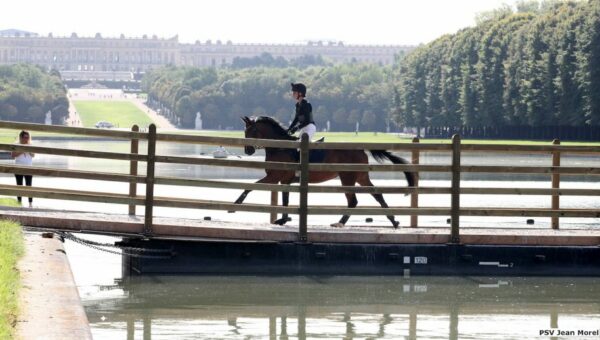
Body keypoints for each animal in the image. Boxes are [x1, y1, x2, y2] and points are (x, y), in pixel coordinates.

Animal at [232, 116, 414, 228]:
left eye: (251, 132)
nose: (248, 151)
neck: (280, 147)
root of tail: (360, 148)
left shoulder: (274, 176)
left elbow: (250, 187)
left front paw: (235, 204)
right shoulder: (283, 180)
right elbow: (285, 200)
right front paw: (283, 219)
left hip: (347, 178)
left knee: (353, 201)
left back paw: (340, 223)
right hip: (361, 177)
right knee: (377, 194)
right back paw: (394, 221)